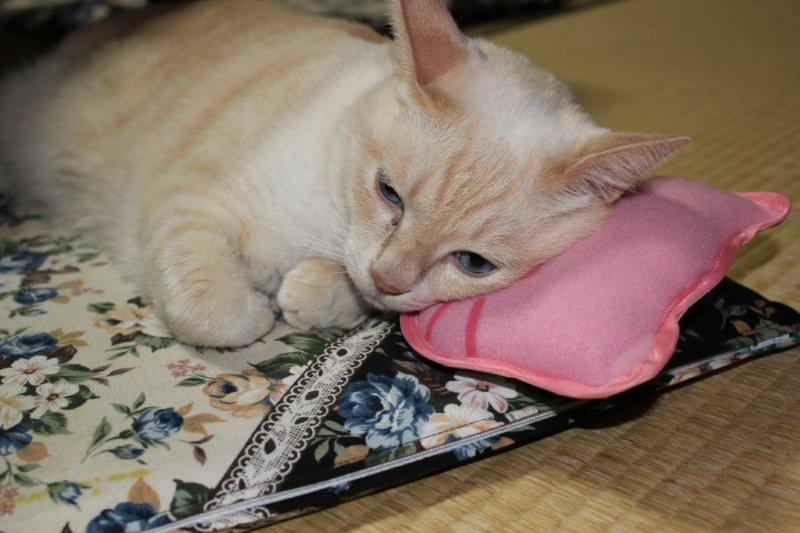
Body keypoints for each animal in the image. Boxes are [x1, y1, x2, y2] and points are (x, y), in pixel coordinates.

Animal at [0, 0, 688, 347]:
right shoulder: (192, 202)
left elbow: (336, 293)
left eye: (472, 264)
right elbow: (214, 312)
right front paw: (257, 311)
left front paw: (307, 296)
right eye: (388, 194)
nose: (390, 278)